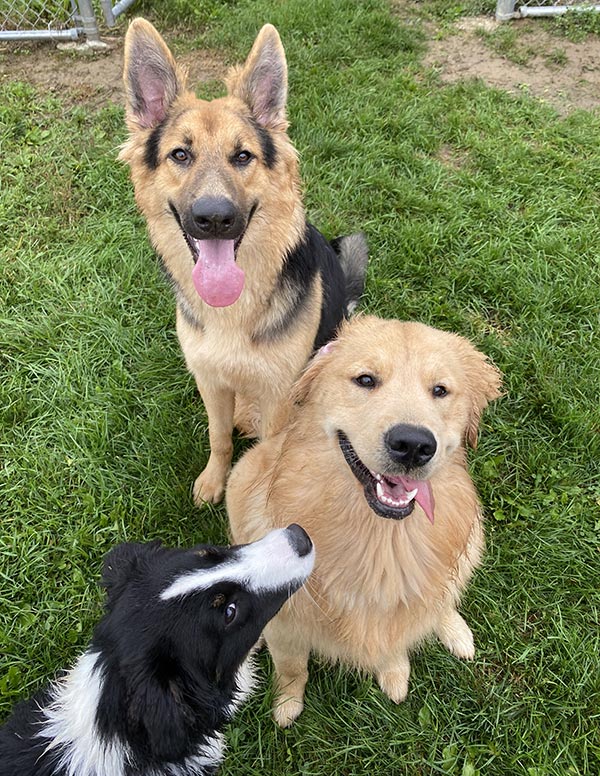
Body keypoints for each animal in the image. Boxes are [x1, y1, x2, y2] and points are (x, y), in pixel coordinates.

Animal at [119, 21, 368, 506]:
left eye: (242, 156)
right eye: (180, 155)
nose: (215, 218)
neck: (232, 310)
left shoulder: (278, 395)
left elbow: (272, 455)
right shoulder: (211, 383)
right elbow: (218, 437)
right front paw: (214, 480)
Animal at [226, 316, 502, 728]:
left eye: (440, 390)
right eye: (366, 380)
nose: (413, 445)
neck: (381, 539)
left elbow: (396, 640)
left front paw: (395, 674)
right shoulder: (284, 626)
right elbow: (292, 668)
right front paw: (287, 704)